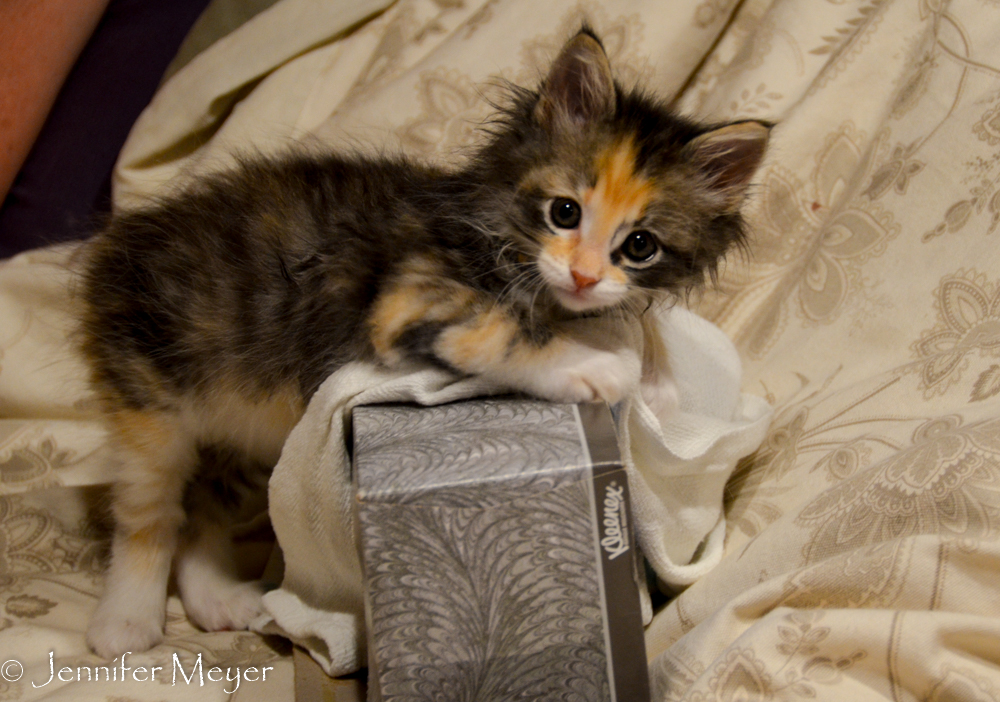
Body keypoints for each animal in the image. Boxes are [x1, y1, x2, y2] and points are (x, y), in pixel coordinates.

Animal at [80, 30, 764, 660]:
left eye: (640, 245)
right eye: (564, 212)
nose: (584, 276)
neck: (495, 228)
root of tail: (117, 246)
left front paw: (650, 378)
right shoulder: (408, 297)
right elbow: (502, 330)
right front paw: (594, 367)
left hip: (256, 430)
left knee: (203, 506)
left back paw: (214, 597)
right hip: (151, 397)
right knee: (149, 513)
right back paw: (126, 622)